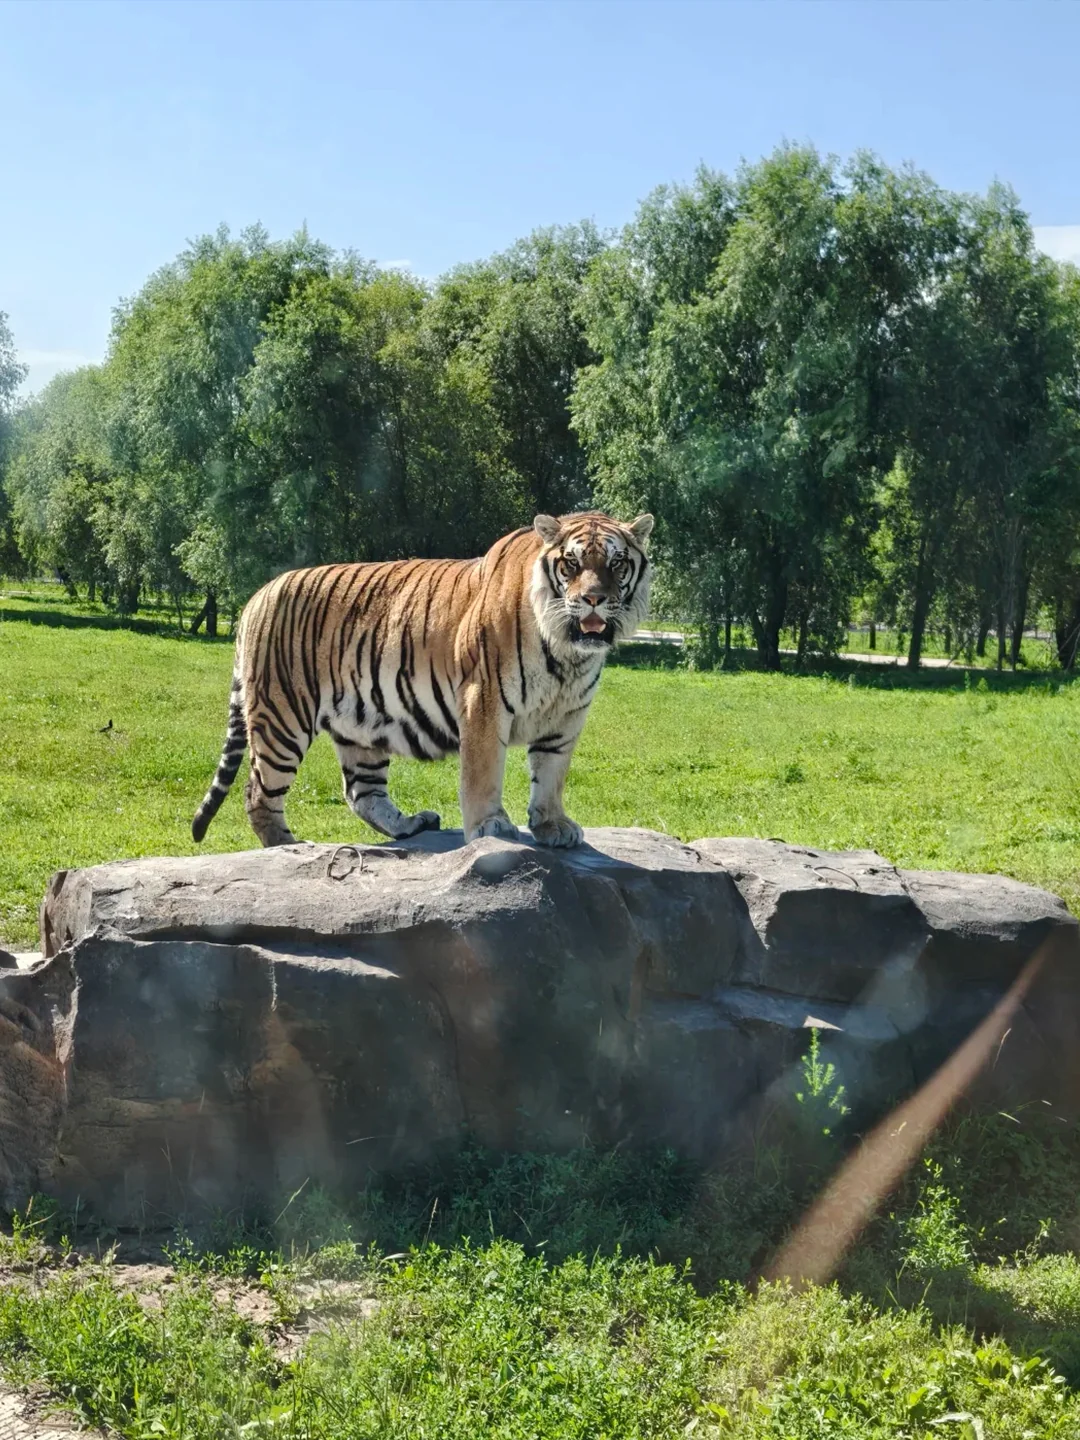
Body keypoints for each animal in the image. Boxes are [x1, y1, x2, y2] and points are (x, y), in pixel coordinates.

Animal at [191, 510, 654, 851]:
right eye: (571, 563)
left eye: (616, 563)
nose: (593, 599)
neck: (568, 655)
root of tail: (256, 595)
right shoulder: (484, 700)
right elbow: (483, 772)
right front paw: (491, 827)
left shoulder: (566, 716)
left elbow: (551, 775)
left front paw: (552, 825)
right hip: (282, 718)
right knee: (258, 793)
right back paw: (290, 847)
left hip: (361, 726)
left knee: (363, 794)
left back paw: (412, 825)